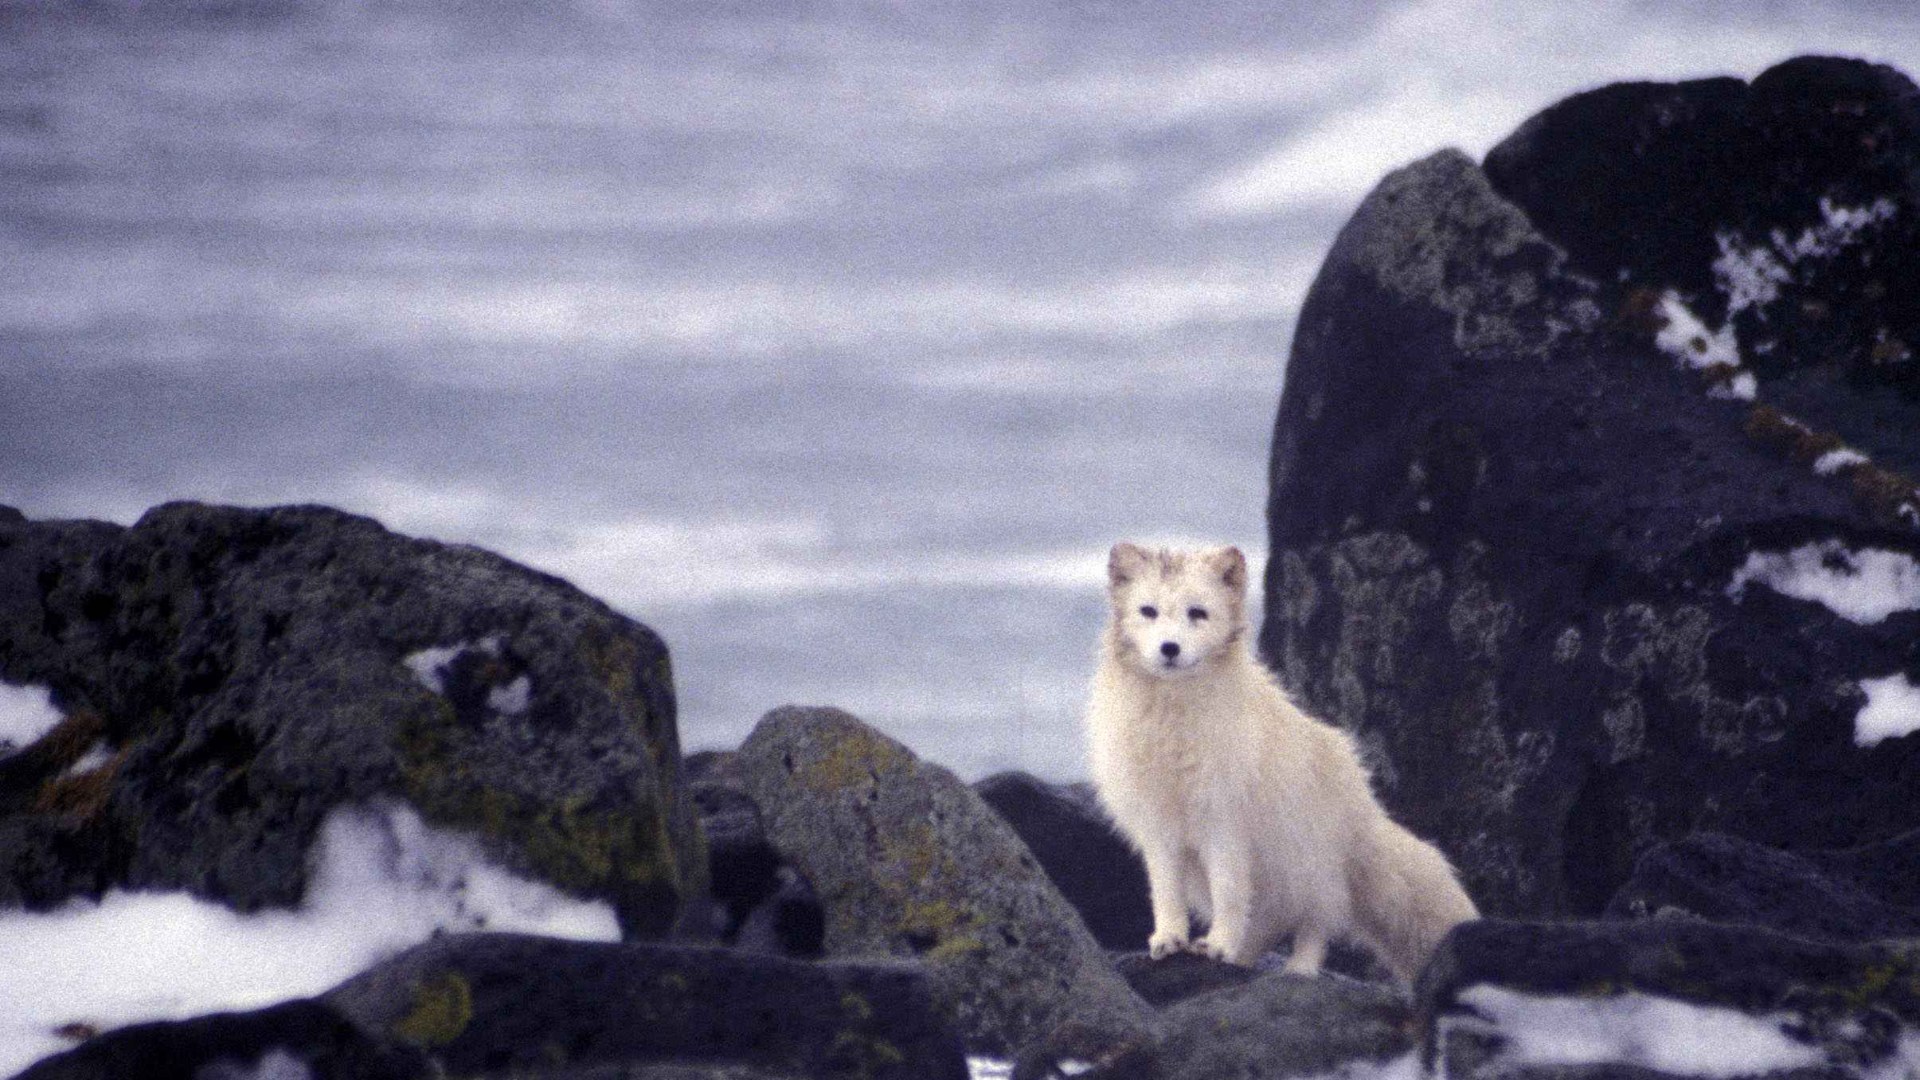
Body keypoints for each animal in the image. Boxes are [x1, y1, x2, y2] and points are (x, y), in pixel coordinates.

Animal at [1083, 542, 1477, 983]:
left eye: (1197, 613)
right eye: (1148, 611)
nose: (1170, 648)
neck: (1172, 724)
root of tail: (1365, 809)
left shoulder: (1223, 823)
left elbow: (1229, 892)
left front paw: (1218, 944)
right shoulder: (1160, 827)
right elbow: (1166, 892)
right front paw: (1170, 939)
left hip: (1312, 871)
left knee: (1316, 923)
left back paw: (1297, 971)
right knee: (1267, 926)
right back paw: (1242, 960)